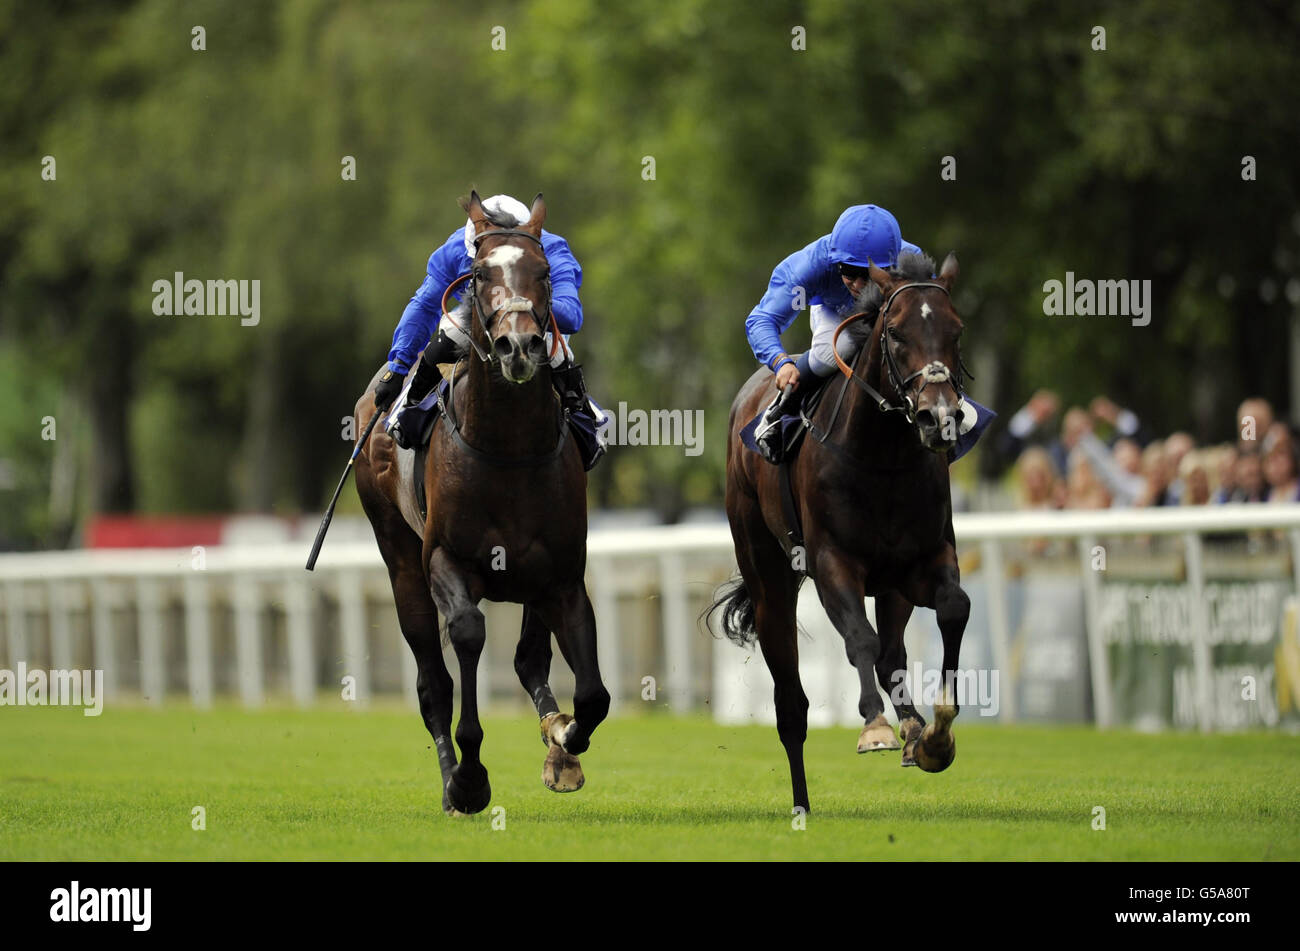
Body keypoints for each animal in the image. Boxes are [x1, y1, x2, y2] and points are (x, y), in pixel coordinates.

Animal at [348, 193, 605, 815]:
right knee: (431, 682)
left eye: (544, 273)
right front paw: (469, 777)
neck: (507, 448)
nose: (520, 347)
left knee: (529, 661)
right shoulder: (446, 560)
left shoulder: (562, 575)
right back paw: (450, 780)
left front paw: (563, 742)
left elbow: (592, 695)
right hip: (399, 559)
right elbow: (466, 636)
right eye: (481, 274)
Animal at [717, 250, 972, 810]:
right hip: (769, 579)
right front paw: (875, 727)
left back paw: (913, 731)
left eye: (957, 329)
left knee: (894, 652)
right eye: (895, 333)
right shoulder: (833, 563)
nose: (939, 417)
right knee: (791, 703)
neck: (883, 457)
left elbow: (953, 608)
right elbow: (860, 638)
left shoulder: (924, 559)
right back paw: (802, 803)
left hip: (892, 585)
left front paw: (936, 734)